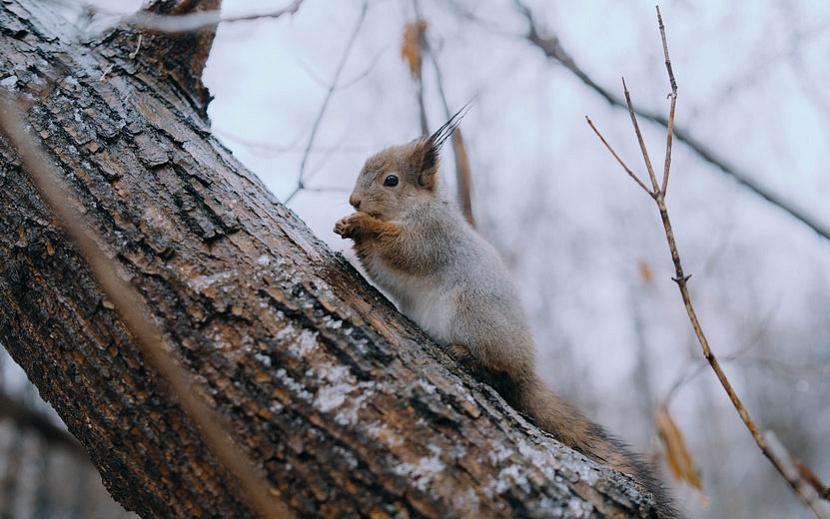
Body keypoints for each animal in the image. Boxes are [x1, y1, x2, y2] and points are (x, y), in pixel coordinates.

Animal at [334, 111, 680, 516]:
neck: (420, 207)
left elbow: (402, 251)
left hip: (470, 313)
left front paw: (362, 224)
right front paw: (346, 227)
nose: (354, 200)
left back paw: (469, 357)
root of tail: (525, 368)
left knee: (499, 372)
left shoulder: (432, 237)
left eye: (392, 180)